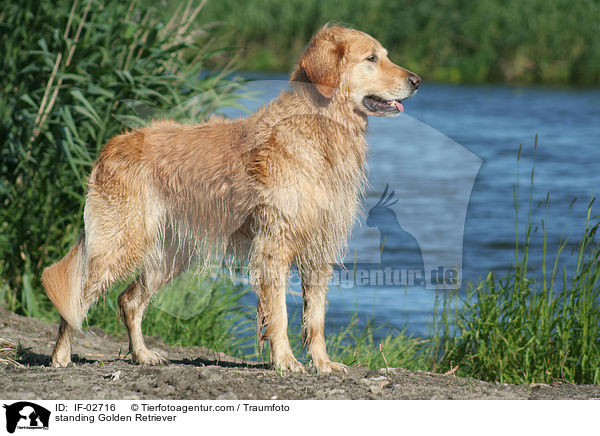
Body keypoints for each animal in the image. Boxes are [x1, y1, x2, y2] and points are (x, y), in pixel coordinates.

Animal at [42, 23, 420, 372]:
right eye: (371, 58)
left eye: (385, 55)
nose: (417, 80)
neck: (319, 129)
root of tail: (113, 142)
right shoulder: (274, 245)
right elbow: (279, 314)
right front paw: (286, 361)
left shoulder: (319, 247)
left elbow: (315, 316)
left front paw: (323, 363)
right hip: (120, 242)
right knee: (73, 302)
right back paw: (60, 357)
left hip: (169, 253)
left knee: (129, 301)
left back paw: (143, 355)